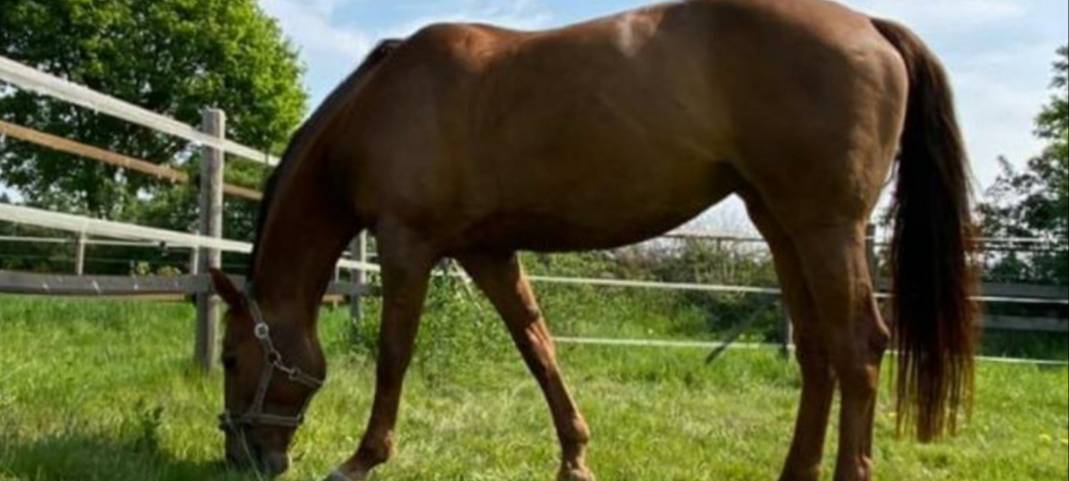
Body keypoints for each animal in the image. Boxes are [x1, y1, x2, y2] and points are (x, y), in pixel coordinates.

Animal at [208, 0, 977, 479]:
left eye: (230, 356)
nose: (244, 457)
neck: (380, 103)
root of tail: (869, 25)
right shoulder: (486, 252)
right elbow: (537, 345)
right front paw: (574, 455)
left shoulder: (407, 244)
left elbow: (394, 354)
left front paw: (362, 457)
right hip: (780, 223)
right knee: (818, 352)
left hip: (825, 226)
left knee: (858, 347)